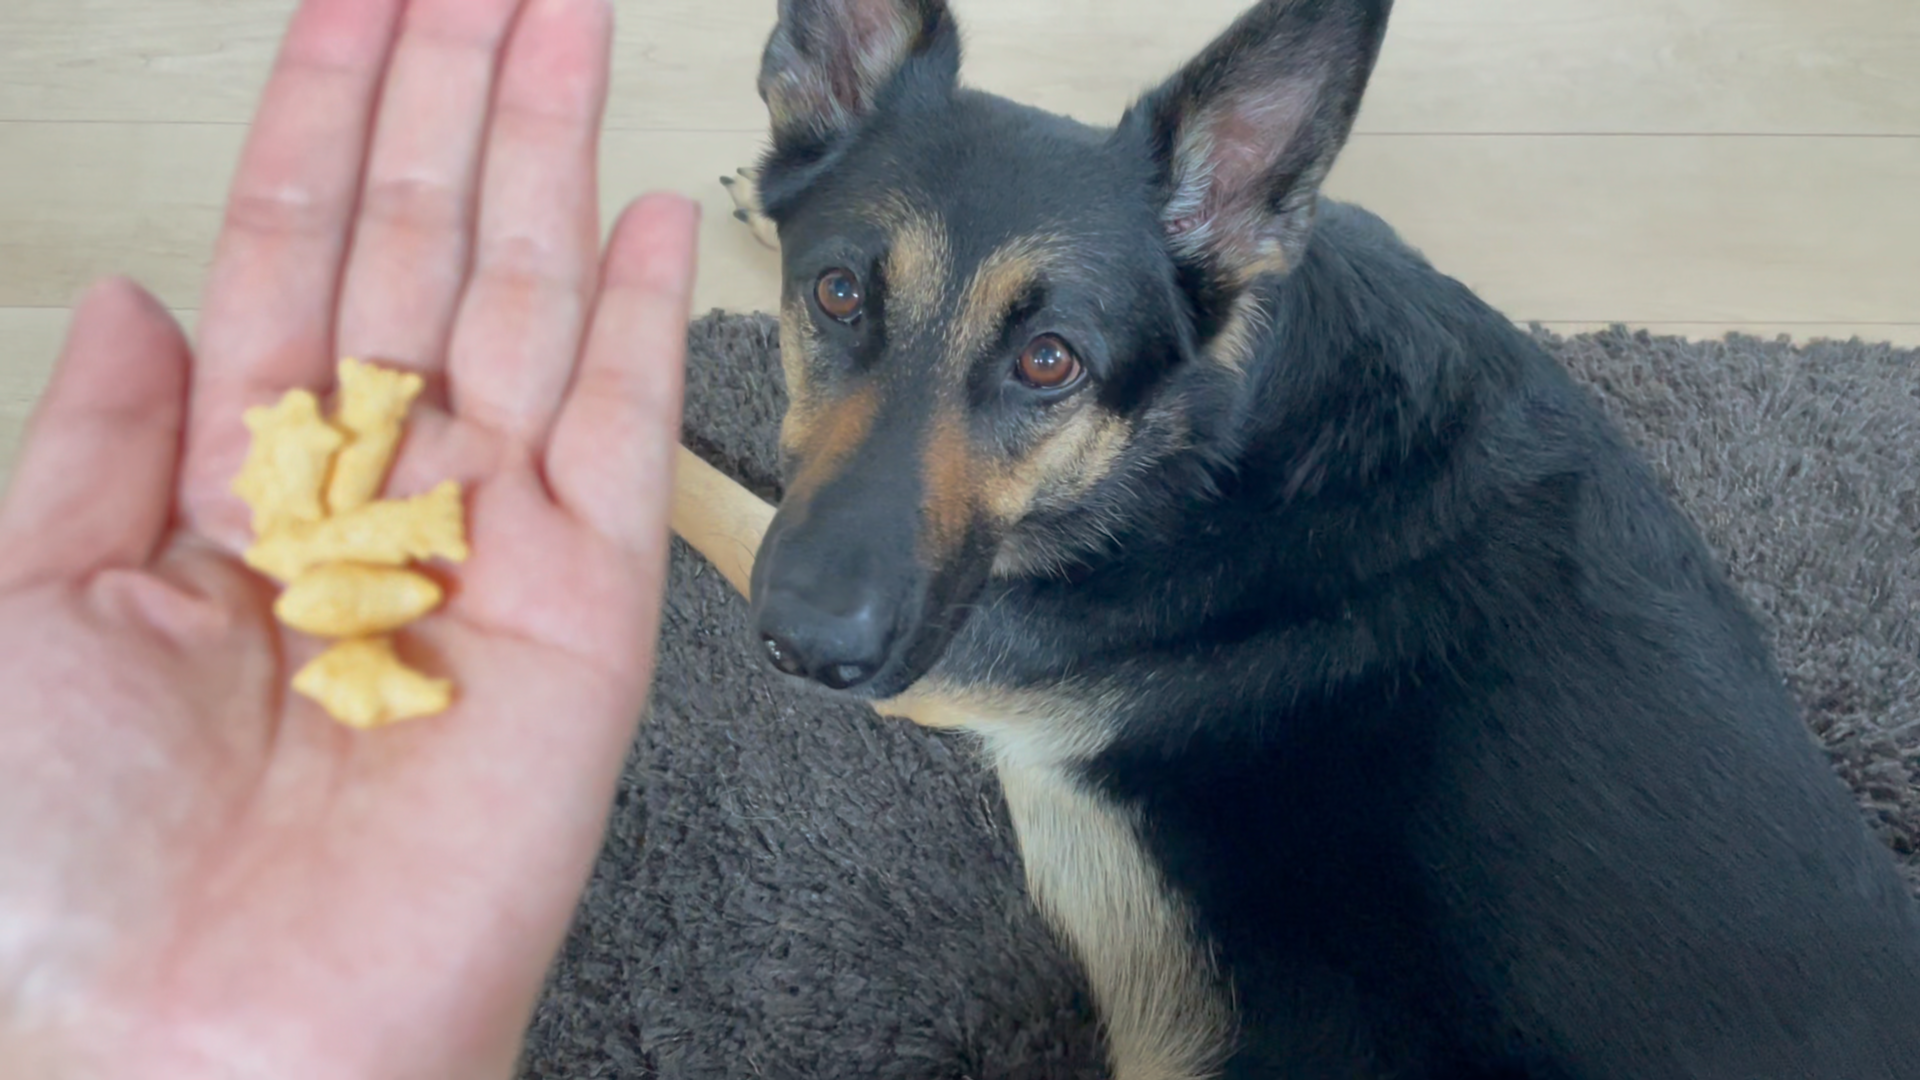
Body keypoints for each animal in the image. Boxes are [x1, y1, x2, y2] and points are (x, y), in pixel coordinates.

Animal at [714, 0, 1920, 1075]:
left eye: (1051, 361)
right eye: (836, 294)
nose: (805, 648)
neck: (1222, 418)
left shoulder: (949, 648)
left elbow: (706, 488)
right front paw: (742, 196)